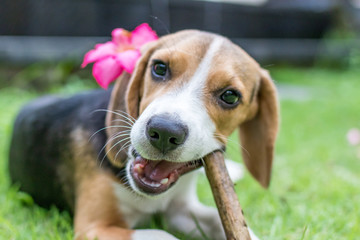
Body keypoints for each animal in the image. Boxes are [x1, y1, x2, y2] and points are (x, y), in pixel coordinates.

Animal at [8, 30, 278, 240]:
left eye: (230, 96)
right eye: (159, 68)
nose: (164, 131)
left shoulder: (179, 209)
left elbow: (215, 218)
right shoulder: (94, 227)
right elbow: (163, 235)